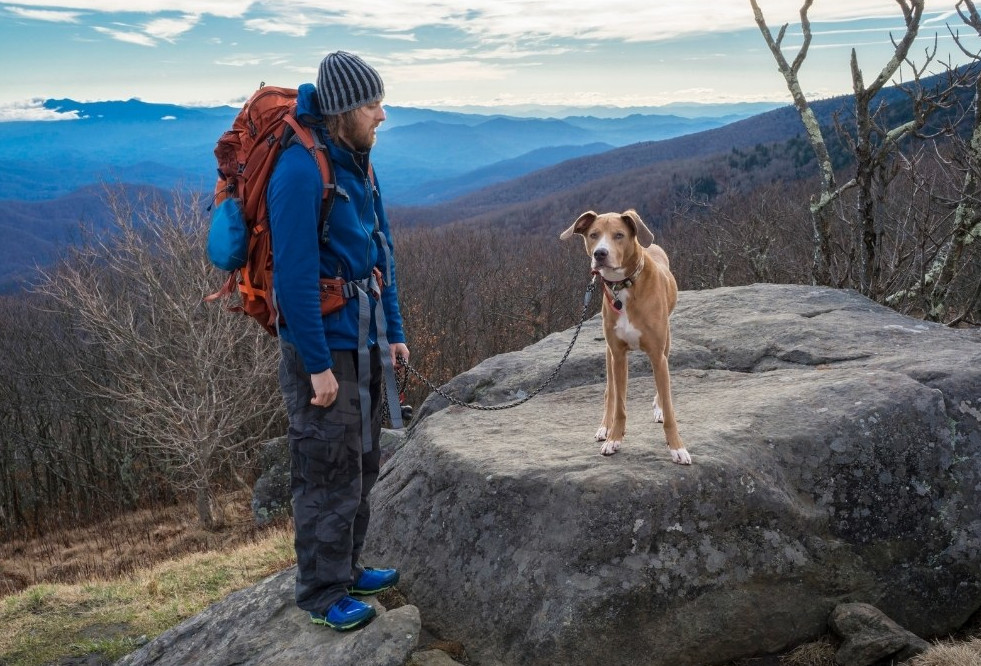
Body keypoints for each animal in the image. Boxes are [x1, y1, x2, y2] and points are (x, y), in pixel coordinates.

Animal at [560, 208, 688, 462]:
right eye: (593, 235)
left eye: (619, 235)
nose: (600, 253)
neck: (624, 287)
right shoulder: (618, 355)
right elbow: (618, 402)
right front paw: (614, 438)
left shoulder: (658, 355)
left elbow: (668, 404)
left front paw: (677, 447)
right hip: (609, 354)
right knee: (609, 391)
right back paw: (604, 427)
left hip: (666, 342)